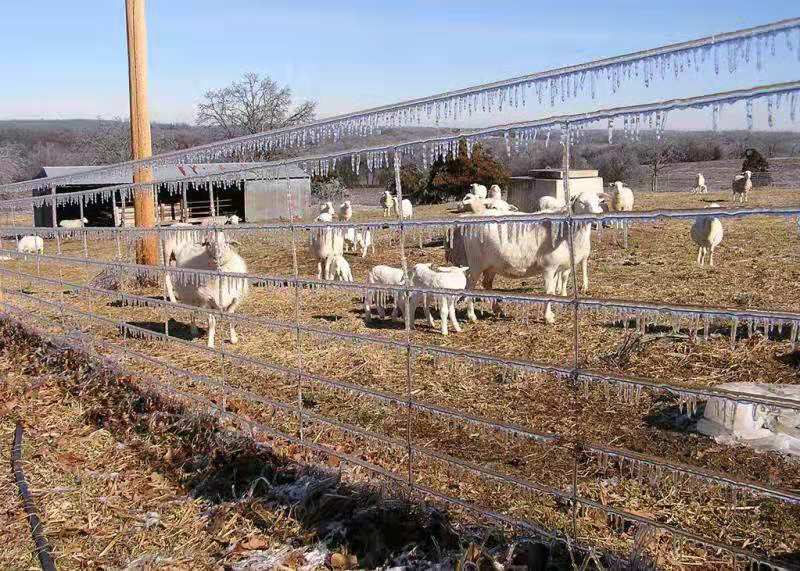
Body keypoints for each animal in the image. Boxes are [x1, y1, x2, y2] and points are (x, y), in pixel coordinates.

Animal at [446, 193, 608, 324]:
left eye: (598, 202)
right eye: (581, 202)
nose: (597, 217)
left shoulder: (559, 267)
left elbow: (556, 288)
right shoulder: (548, 267)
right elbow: (548, 292)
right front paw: (548, 317)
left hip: (492, 265)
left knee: (487, 284)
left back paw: (498, 310)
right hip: (476, 263)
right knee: (470, 287)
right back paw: (472, 316)